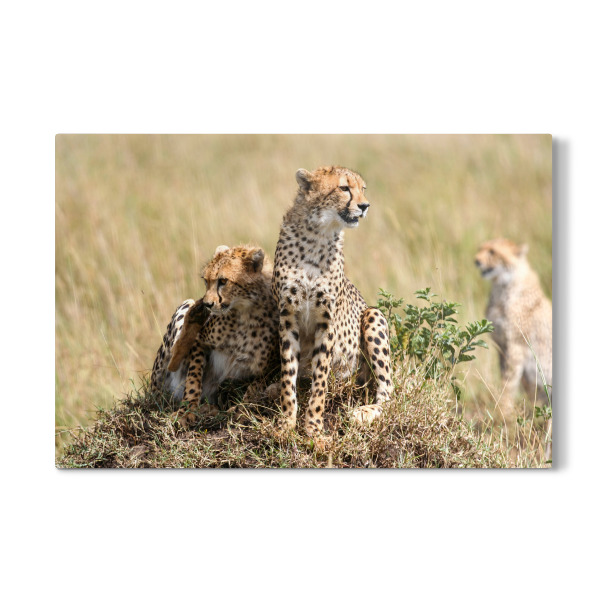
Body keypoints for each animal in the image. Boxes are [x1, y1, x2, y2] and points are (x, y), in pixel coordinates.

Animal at [150, 244, 279, 427]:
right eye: (206, 280)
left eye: (223, 281)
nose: (207, 304)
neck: (245, 312)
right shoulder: (200, 340)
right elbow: (193, 377)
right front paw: (187, 410)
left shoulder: (271, 364)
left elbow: (255, 387)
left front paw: (242, 409)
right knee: (172, 361)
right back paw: (195, 315)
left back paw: (210, 408)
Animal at [271, 165, 394, 438]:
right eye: (344, 188)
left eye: (363, 189)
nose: (365, 205)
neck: (317, 234)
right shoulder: (287, 317)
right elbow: (288, 374)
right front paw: (286, 423)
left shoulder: (326, 321)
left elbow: (320, 380)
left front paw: (314, 427)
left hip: (373, 315)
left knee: (389, 392)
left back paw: (363, 413)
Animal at [475, 238, 552, 415]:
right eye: (481, 249)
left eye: (492, 252)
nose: (476, 261)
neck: (501, 286)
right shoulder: (502, 345)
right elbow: (506, 377)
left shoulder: (516, 346)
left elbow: (508, 381)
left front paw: (503, 411)